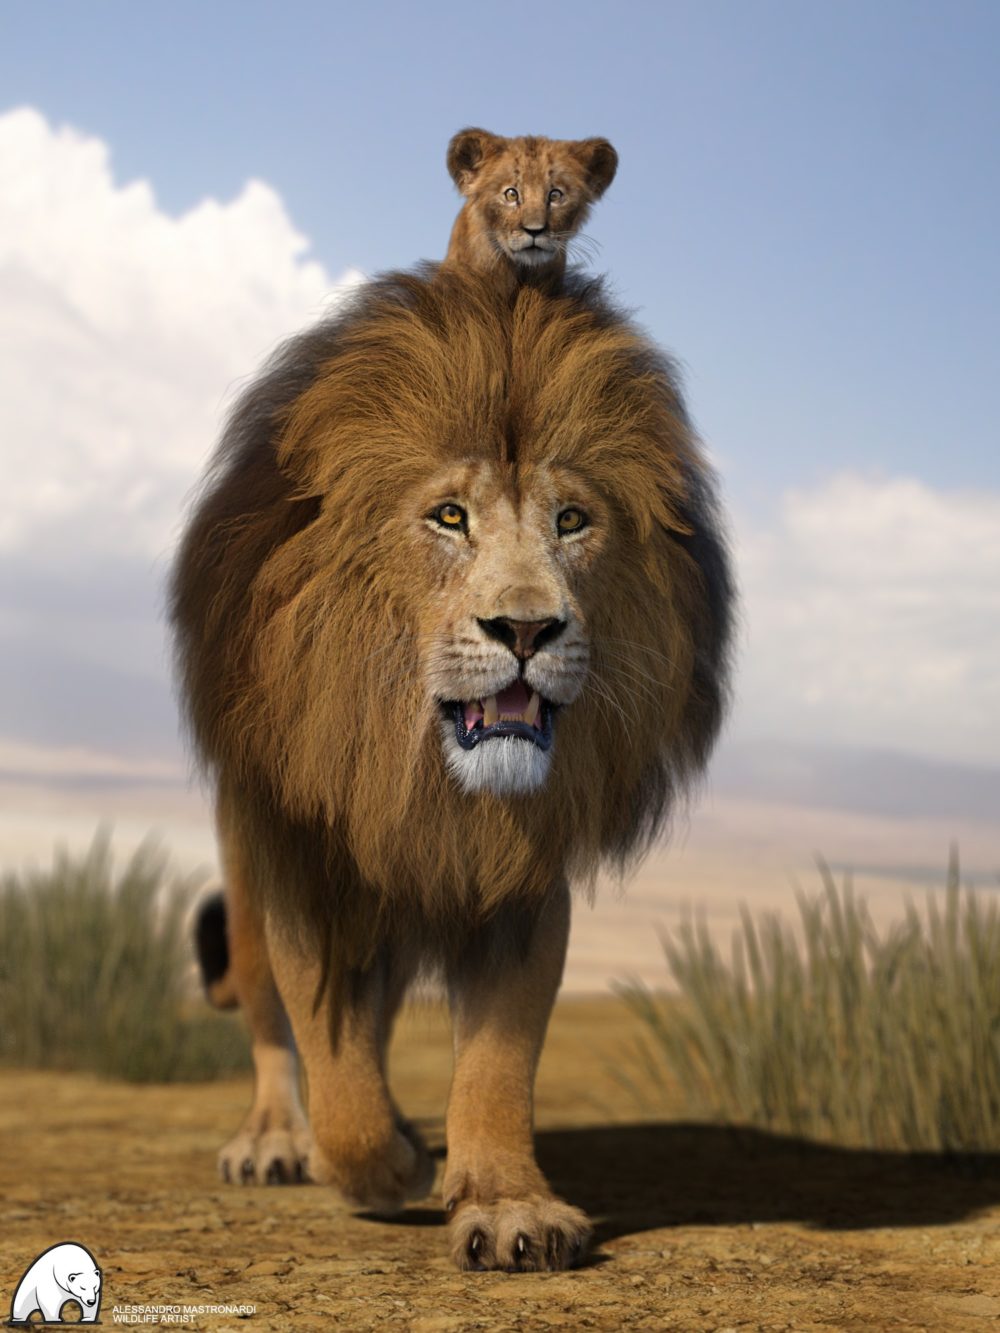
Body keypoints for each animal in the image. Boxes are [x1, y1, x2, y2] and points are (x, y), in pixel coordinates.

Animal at [172, 265, 732, 1271]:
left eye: (572, 521)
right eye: (449, 517)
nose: (527, 629)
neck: (427, 783)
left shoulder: (520, 884)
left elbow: (498, 1063)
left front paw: (508, 1205)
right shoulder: (310, 871)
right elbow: (327, 1051)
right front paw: (378, 1163)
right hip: (247, 867)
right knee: (275, 1029)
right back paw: (277, 1139)